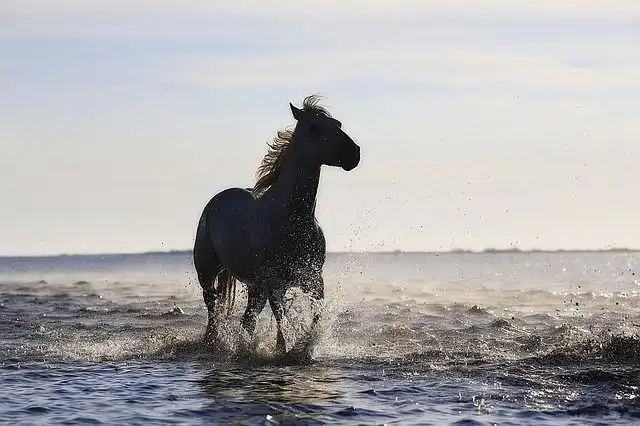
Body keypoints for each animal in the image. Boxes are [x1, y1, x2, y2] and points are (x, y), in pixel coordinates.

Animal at [193, 95, 360, 355]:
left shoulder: (313, 280)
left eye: (338, 124)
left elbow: (315, 318)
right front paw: (285, 350)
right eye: (314, 127)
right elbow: (282, 321)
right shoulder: (275, 284)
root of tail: (216, 201)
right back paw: (212, 342)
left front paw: (305, 345)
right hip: (208, 273)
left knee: (247, 320)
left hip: (256, 288)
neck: (292, 219)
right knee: (213, 311)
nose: (354, 153)